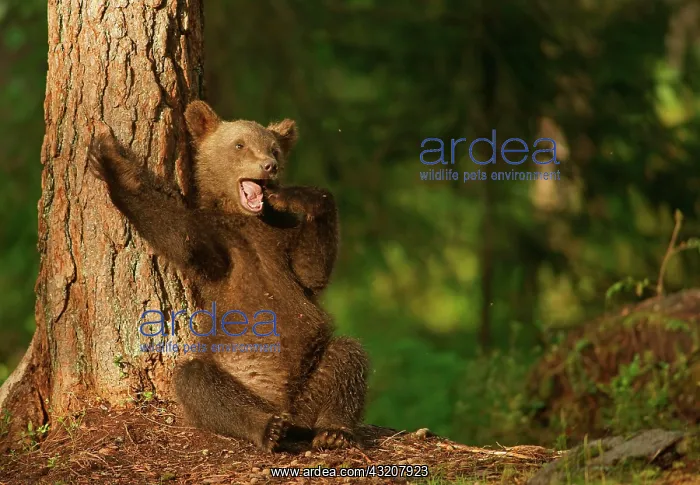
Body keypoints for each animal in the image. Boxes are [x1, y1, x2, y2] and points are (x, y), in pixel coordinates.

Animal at [87, 100, 369, 452]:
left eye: (274, 148)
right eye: (239, 145)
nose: (269, 166)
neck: (244, 217)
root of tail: (287, 407)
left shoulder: (283, 240)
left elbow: (311, 272)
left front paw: (304, 196)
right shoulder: (215, 242)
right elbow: (177, 235)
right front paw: (109, 158)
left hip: (310, 375)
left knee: (347, 356)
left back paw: (333, 431)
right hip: (236, 376)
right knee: (199, 383)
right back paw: (269, 428)